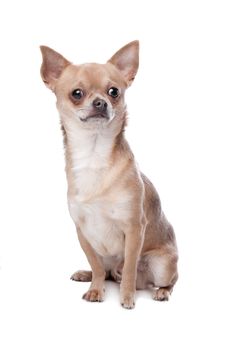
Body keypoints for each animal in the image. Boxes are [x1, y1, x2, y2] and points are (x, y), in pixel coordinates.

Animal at [40, 41, 178, 308]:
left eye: (114, 91)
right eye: (77, 93)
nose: (100, 102)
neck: (94, 155)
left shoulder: (134, 229)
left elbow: (130, 268)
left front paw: (127, 298)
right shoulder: (83, 231)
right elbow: (96, 265)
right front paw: (96, 288)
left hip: (163, 263)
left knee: (164, 279)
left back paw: (161, 291)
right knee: (106, 271)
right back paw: (88, 275)